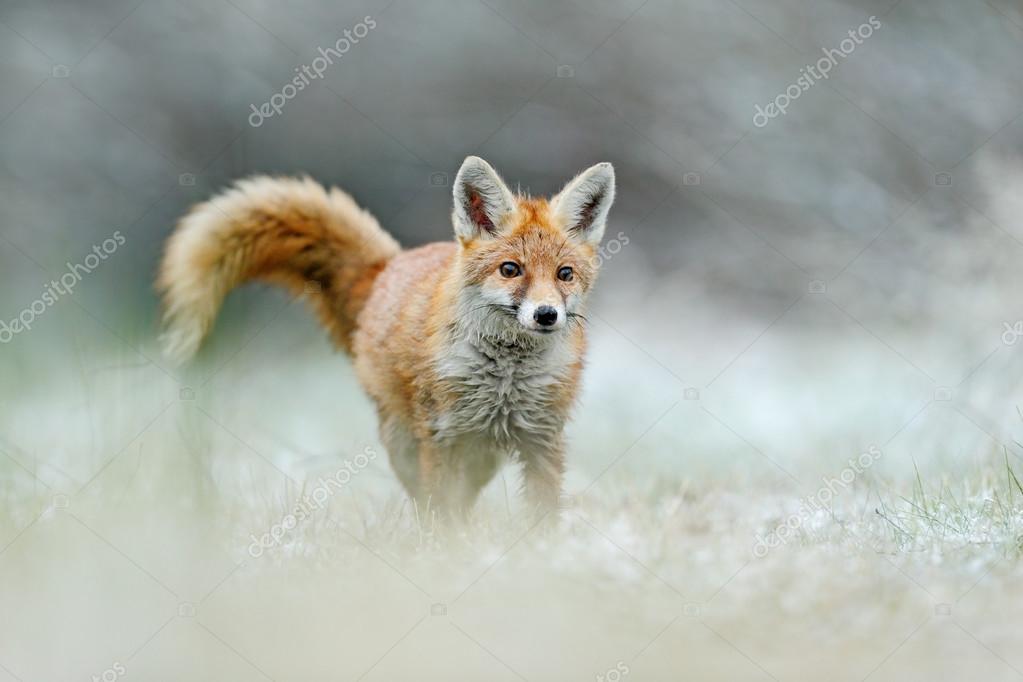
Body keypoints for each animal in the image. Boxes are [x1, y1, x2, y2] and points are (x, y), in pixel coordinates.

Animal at [157, 156, 616, 519]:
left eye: (564, 274)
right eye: (510, 269)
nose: (546, 315)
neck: (505, 378)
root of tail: (387, 267)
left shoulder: (543, 440)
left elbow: (542, 515)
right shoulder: (442, 437)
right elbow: (442, 513)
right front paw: (449, 557)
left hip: (481, 456)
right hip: (406, 441)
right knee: (426, 500)